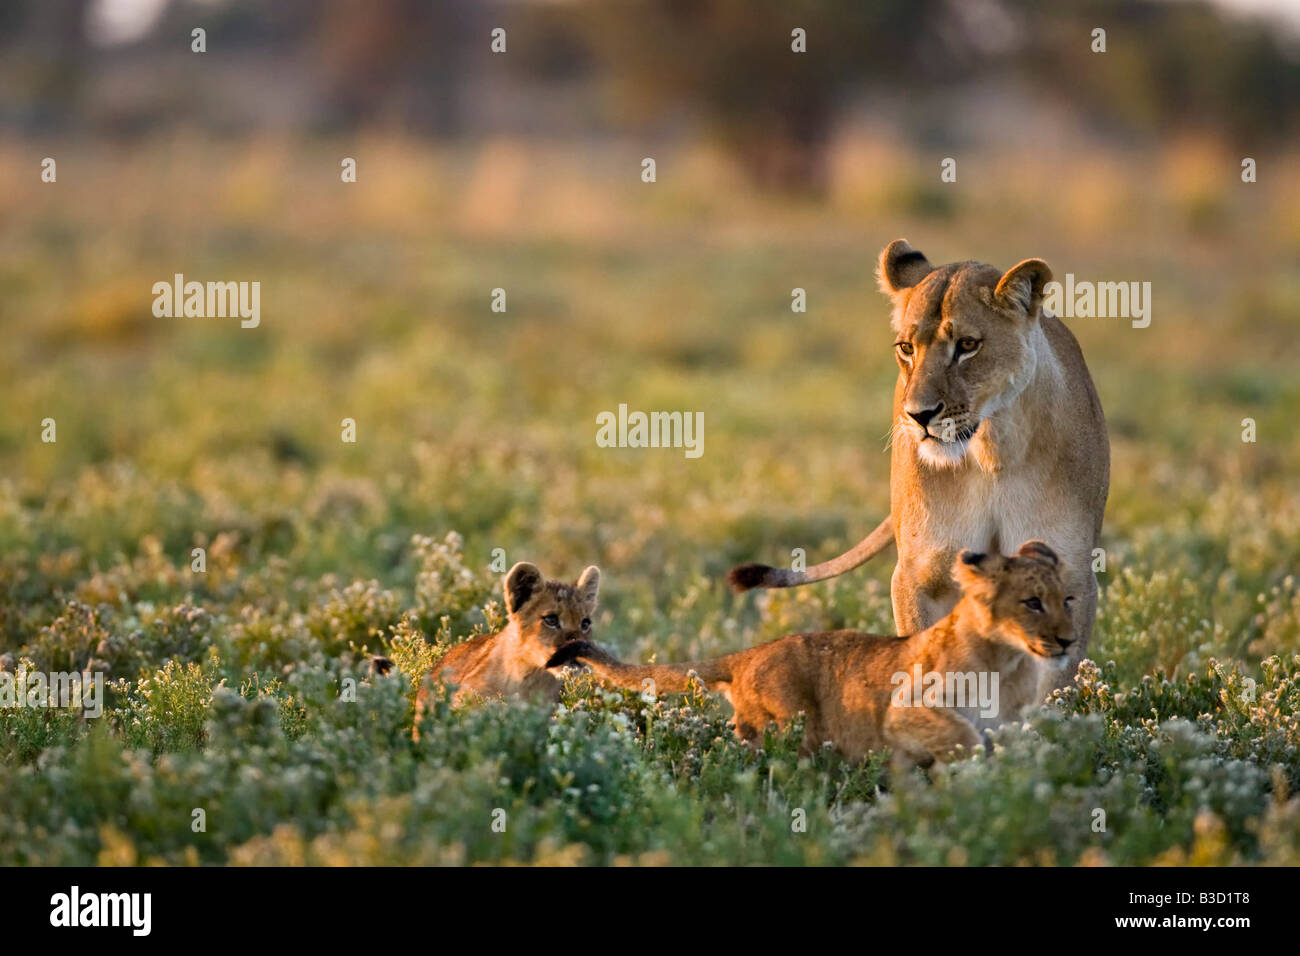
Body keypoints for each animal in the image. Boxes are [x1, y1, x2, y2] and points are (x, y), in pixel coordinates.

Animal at [549, 541, 1073, 767]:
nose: (1068, 640)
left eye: (1067, 599)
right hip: (790, 723)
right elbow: (962, 733)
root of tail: (748, 654)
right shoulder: (904, 710)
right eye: (1032, 602)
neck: (1008, 662)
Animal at [728, 240, 1108, 690]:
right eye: (906, 348)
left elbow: (1053, 685)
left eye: (967, 345)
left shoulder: (1072, 576)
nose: (918, 415)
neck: (993, 452)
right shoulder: (917, 573)